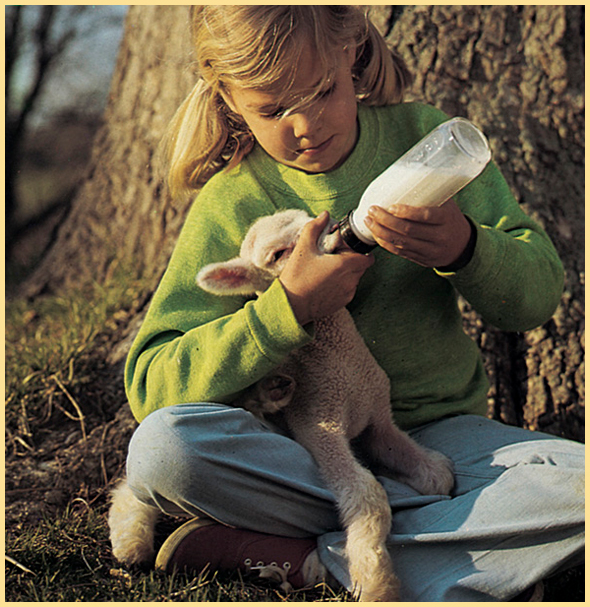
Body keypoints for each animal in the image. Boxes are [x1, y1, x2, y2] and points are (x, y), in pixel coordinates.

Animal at [108, 210, 456, 604]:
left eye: (309, 218)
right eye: (277, 254)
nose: (334, 229)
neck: (343, 367)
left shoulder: (377, 419)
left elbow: (436, 472)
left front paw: (426, 475)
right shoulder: (319, 423)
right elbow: (368, 494)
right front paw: (376, 581)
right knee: (135, 478)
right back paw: (130, 542)